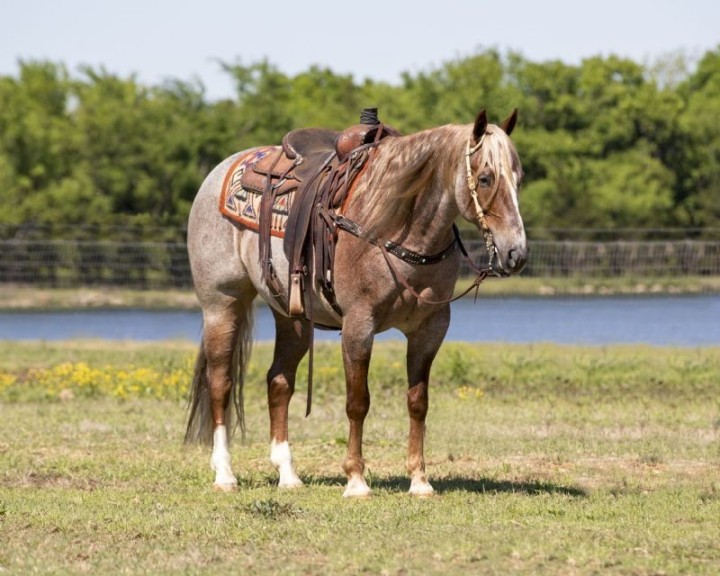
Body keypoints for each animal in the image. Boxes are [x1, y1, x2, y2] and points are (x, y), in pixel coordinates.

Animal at [184, 107, 527, 497]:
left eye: (519, 178)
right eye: (485, 178)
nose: (516, 253)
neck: (395, 225)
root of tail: (221, 170)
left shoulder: (431, 329)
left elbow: (418, 402)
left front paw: (419, 480)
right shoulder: (358, 325)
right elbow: (357, 402)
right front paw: (356, 480)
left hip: (290, 316)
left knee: (279, 382)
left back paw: (288, 474)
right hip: (221, 304)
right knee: (220, 383)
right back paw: (225, 474)